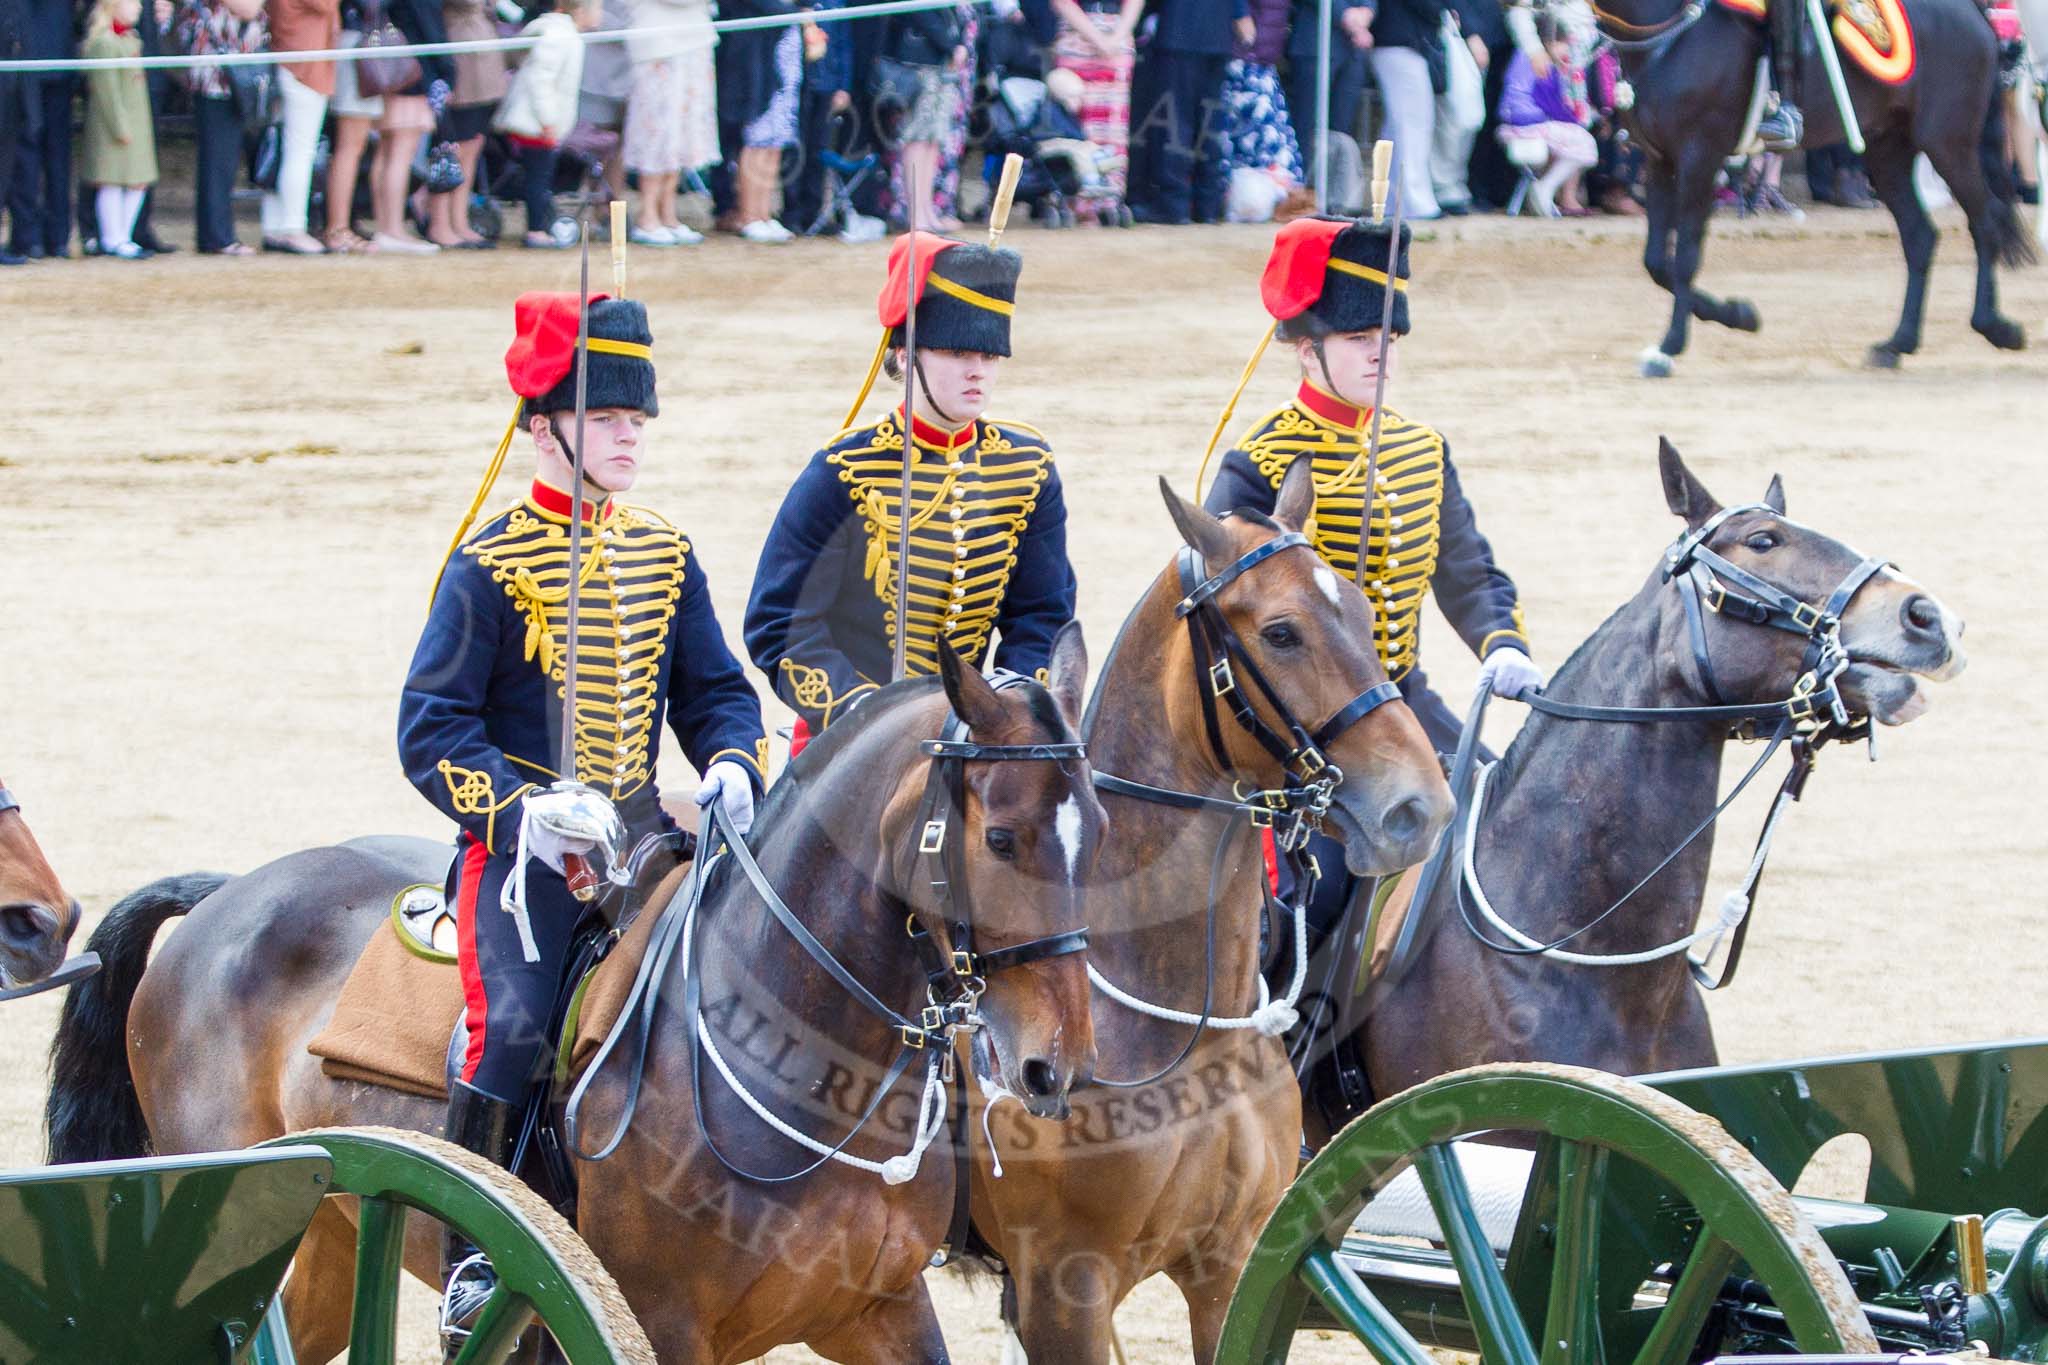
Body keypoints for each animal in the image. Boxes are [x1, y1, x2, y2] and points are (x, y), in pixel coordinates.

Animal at [48, 642, 1105, 1365]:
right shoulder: (662, 1324)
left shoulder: (879, 1311)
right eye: (1002, 837)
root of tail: (227, 895)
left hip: (319, 1243)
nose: (1054, 1064)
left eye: (1096, 826)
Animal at [962, 462, 1458, 1365]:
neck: (1184, 1032)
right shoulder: (1064, 1291)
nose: (1420, 806)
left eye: (1362, 611)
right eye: (1282, 633)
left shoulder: (1234, 1269)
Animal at [1613, 0, 2031, 374]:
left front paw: (1670, 345)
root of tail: (1975, 13)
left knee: (1986, 221)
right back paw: (1897, 344)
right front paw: (1739, 315)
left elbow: (1684, 257)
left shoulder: (1700, 157)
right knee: (1920, 236)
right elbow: (1656, 262)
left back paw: (1996, 327)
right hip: (1889, 148)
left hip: (1947, 141)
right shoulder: (1660, 161)